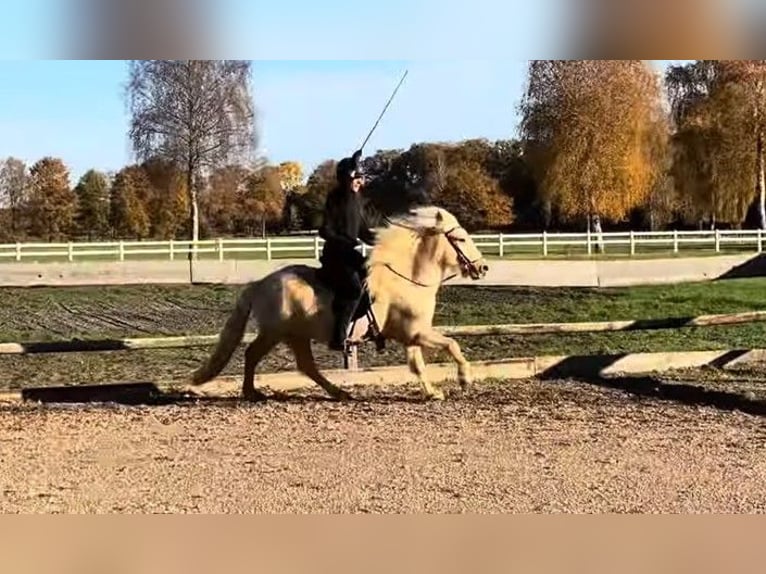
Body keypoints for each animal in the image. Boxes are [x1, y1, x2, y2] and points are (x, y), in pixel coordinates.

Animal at [186, 205, 489, 401]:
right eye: (461, 238)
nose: (483, 267)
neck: (406, 277)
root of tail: (260, 283)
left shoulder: (411, 335)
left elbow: (418, 366)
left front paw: (433, 393)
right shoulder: (417, 332)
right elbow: (452, 344)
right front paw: (465, 379)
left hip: (296, 335)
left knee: (306, 366)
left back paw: (339, 392)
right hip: (275, 332)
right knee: (253, 355)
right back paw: (252, 393)